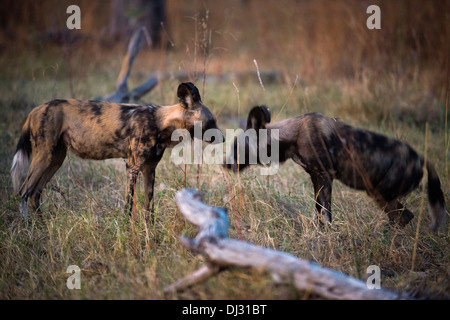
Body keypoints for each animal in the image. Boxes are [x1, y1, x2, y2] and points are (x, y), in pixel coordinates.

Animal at [10, 81, 221, 219]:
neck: (160, 123)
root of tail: (36, 110)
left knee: (35, 193)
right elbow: (129, 205)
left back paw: (42, 225)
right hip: (45, 156)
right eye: (211, 122)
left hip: (55, 159)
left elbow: (149, 207)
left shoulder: (149, 169)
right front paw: (126, 232)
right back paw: (27, 228)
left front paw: (150, 235)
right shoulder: (133, 167)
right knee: (23, 191)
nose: (223, 138)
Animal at [225, 106, 446, 231]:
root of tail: (421, 158)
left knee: (403, 217)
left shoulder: (325, 175)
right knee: (404, 217)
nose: (225, 164)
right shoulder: (315, 176)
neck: (291, 136)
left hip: (379, 193)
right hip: (382, 195)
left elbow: (326, 212)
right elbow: (319, 210)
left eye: (237, 146)